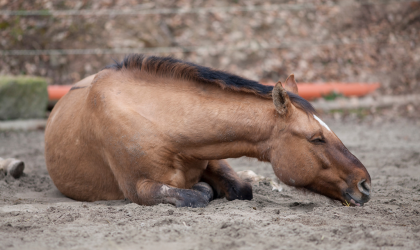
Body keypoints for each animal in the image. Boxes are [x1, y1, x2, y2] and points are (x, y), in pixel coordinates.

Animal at [43, 54, 370, 207]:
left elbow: (241, 188)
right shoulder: (139, 188)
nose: (365, 184)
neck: (161, 123)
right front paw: (204, 189)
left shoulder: (213, 156)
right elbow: (196, 195)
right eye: (316, 138)